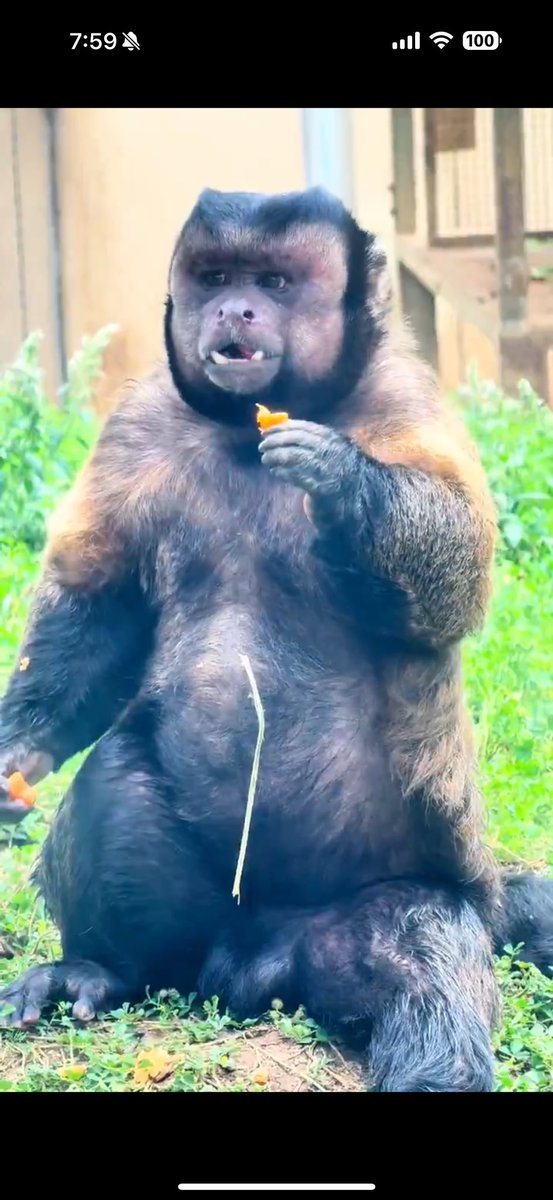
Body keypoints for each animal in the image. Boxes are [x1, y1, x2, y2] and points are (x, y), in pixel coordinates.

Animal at [1, 187, 552, 1091]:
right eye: (217, 277)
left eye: (275, 282)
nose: (237, 309)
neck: (241, 432)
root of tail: (248, 969)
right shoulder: (138, 421)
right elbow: (103, 610)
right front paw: (19, 758)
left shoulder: (405, 396)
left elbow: (451, 586)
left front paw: (343, 482)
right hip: (201, 938)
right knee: (120, 774)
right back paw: (102, 970)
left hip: (368, 919)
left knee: (418, 951)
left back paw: (429, 1056)